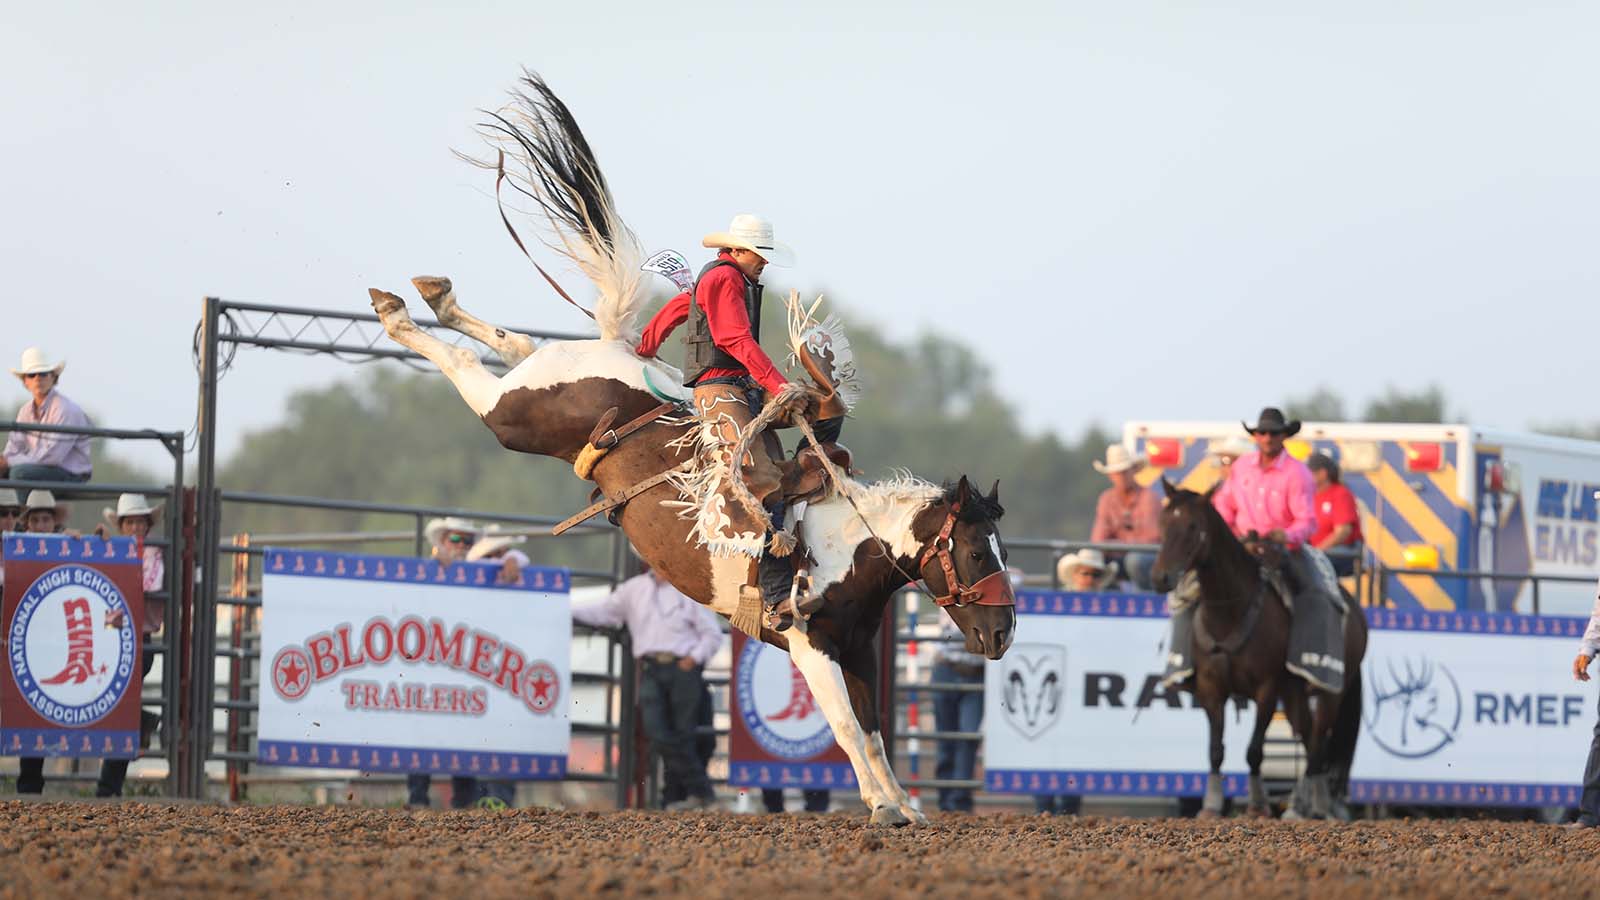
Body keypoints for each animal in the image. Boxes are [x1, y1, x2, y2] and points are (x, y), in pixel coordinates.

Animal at [364, 73, 1011, 826]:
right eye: (976, 553)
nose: (1003, 635)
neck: (849, 543)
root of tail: (614, 353)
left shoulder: (857, 648)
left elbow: (875, 730)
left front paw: (903, 805)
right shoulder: (808, 642)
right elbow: (849, 729)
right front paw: (882, 807)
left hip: (542, 386)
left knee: (515, 344)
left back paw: (437, 298)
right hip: (516, 418)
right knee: (474, 373)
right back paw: (399, 312)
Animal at [1152, 480, 1363, 816]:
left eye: (1193, 525)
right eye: (1163, 523)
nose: (1161, 578)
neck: (1230, 612)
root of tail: (1355, 609)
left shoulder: (1267, 690)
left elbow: (1254, 750)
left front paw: (1258, 804)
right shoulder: (1211, 690)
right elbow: (1215, 750)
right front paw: (1211, 805)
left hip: (1330, 691)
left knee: (1318, 742)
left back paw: (1318, 806)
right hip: (1294, 694)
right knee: (1307, 737)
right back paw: (1299, 807)